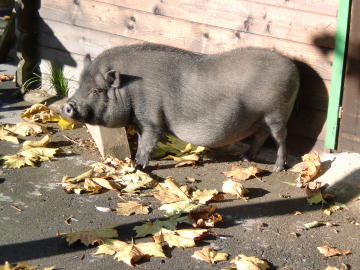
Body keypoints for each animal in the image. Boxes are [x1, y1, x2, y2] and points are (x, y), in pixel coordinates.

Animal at [60, 43, 300, 171]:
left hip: (276, 114)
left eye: (97, 91)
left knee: (281, 138)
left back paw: (278, 167)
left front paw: (138, 166)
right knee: (260, 135)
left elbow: (147, 143)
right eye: (80, 85)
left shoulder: (152, 120)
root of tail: (294, 69)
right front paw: (135, 163)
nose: (66, 106)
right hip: (259, 120)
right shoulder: (141, 121)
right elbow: (141, 140)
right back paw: (244, 158)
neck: (128, 89)